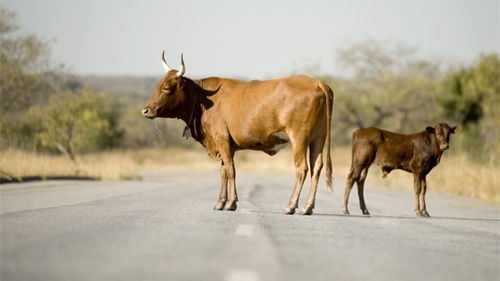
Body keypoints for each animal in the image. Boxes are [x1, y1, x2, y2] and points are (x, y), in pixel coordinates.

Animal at [143, 52, 334, 214]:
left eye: (167, 88)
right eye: (157, 85)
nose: (146, 110)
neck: (204, 100)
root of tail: (316, 82)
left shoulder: (221, 139)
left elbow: (231, 170)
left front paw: (231, 203)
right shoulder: (226, 145)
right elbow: (223, 172)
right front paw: (220, 202)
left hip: (299, 138)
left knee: (302, 168)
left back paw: (291, 206)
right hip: (318, 138)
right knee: (316, 168)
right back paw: (308, 207)